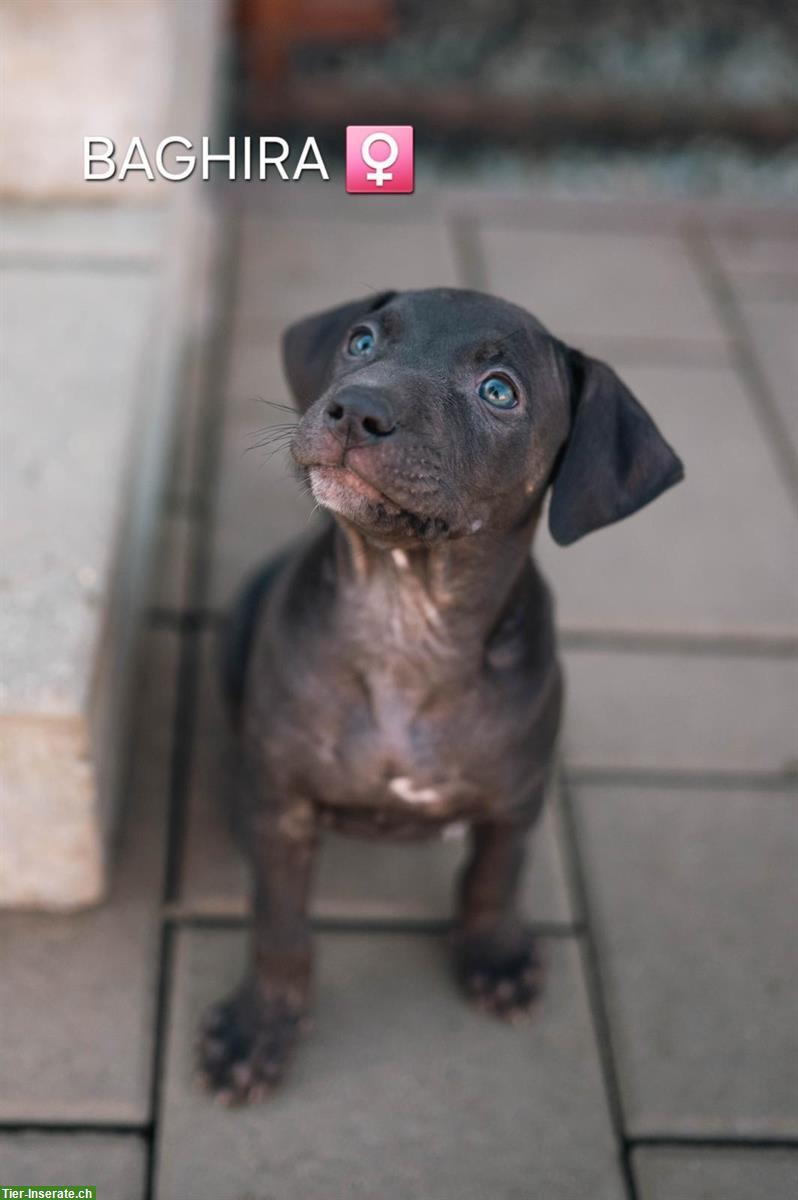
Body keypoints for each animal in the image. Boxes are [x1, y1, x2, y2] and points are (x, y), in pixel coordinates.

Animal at [195, 285, 681, 1099]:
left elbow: (492, 878)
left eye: (499, 392)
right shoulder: (285, 807)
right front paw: (261, 1028)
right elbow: (279, 924)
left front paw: (494, 956)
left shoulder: (513, 800)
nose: (355, 410)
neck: (405, 615)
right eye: (361, 341)